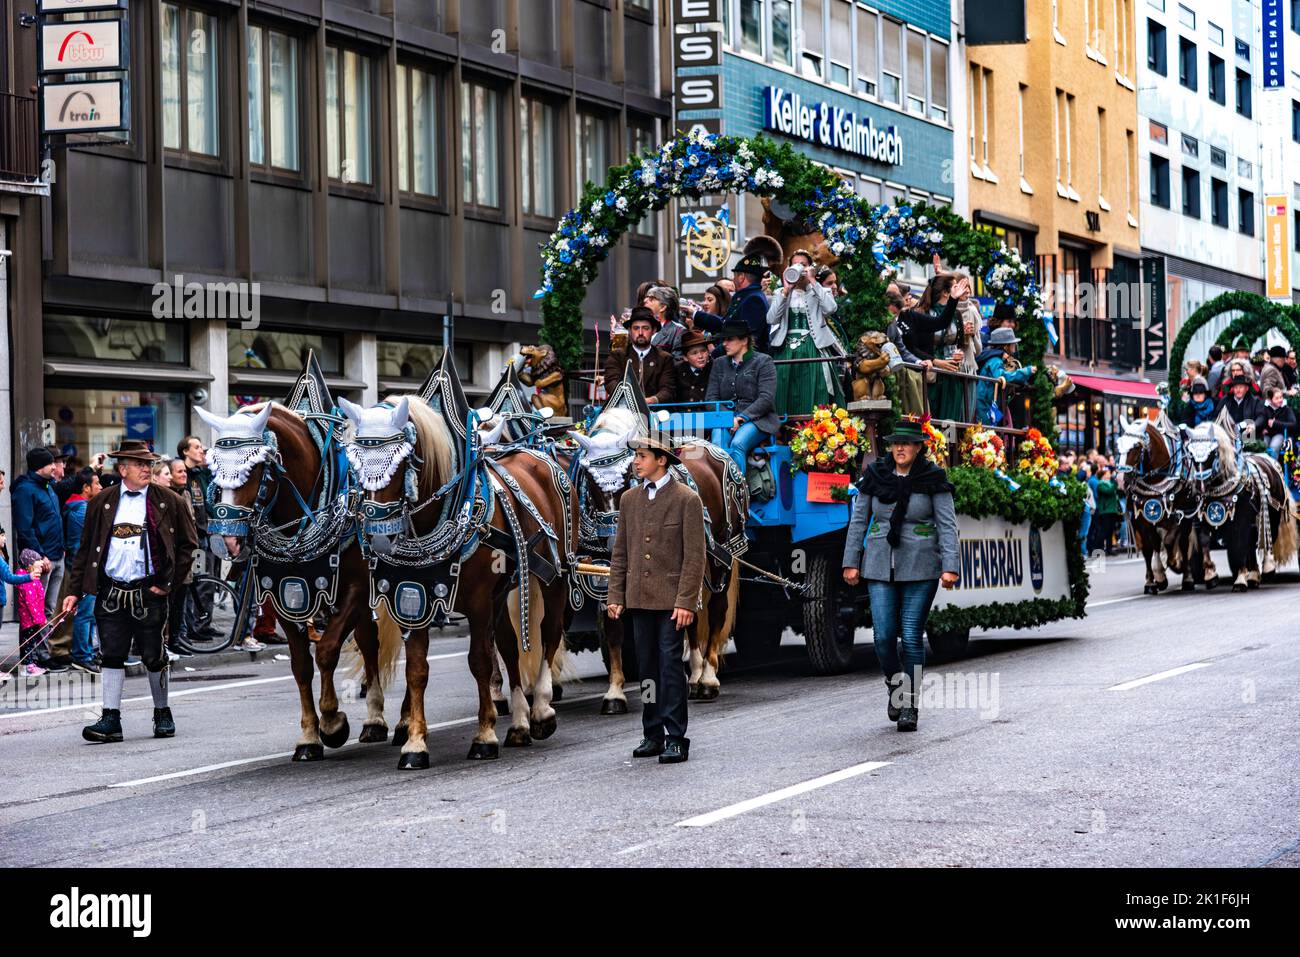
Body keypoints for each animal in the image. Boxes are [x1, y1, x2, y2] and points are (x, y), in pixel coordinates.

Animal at [195, 400, 400, 759]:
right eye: (214, 468)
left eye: (254, 468)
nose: (225, 541)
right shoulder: (283, 596)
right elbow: (302, 664)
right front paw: (308, 737)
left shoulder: (355, 589)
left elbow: (327, 650)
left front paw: (332, 723)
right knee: (368, 641)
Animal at [340, 366, 574, 769]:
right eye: (354, 463)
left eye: (402, 461)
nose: (379, 537)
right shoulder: (412, 600)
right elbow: (417, 670)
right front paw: (415, 744)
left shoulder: (478, 601)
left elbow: (479, 660)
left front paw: (485, 736)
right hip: (504, 591)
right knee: (509, 646)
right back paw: (520, 724)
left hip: (553, 577)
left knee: (549, 634)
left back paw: (542, 709)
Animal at [564, 369, 748, 707]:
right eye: (591, 483)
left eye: (627, 476)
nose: (614, 543)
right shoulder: (603, 571)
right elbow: (615, 627)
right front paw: (615, 692)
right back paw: (696, 674)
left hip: (723, 553)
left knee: (715, 609)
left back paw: (707, 677)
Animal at [1112, 416, 1211, 595]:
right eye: (1118, 444)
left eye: (1136, 446)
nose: (1121, 480)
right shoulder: (1142, 519)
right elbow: (1149, 548)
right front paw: (1153, 580)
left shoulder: (1180, 515)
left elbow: (1171, 542)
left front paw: (1175, 564)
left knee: (1184, 542)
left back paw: (1187, 576)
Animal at [1175, 416, 1294, 595]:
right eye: (1192, 455)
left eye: (1213, 453)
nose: (1201, 486)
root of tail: (1269, 460)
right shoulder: (1201, 518)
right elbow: (1204, 543)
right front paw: (1211, 575)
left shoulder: (1240, 521)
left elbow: (1239, 547)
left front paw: (1240, 581)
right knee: (1252, 544)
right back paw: (1254, 576)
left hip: (1273, 514)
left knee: (1267, 537)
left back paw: (1267, 569)